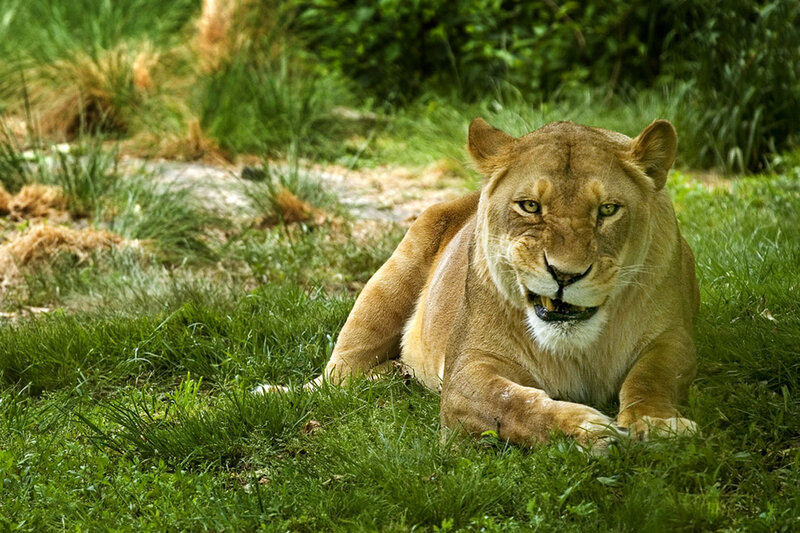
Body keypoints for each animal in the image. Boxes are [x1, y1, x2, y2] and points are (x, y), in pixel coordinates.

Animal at [255, 118, 699, 449]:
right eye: (530, 206)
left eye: (607, 210)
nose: (565, 274)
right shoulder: (466, 370)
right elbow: (512, 403)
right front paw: (587, 429)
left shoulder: (675, 335)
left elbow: (651, 377)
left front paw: (657, 423)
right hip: (385, 285)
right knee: (334, 378)